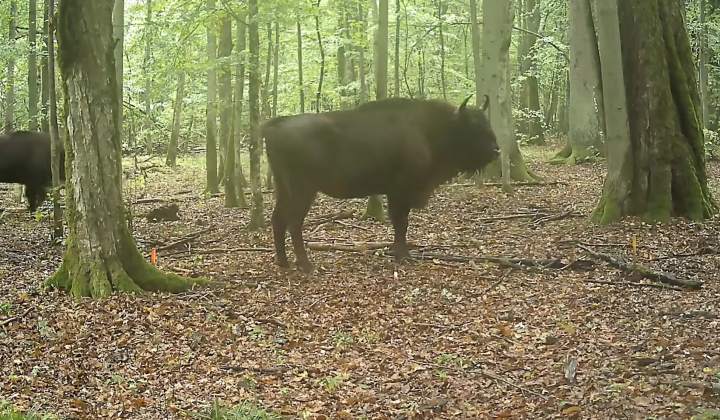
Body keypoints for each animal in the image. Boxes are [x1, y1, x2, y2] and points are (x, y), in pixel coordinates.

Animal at [264, 95, 499, 272]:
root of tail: (276, 124)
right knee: (294, 223)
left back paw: (283, 262)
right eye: (472, 126)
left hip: (283, 188)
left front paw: (396, 252)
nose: (496, 151)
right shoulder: (400, 191)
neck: (430, 128)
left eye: (487, 122)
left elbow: (399, 222)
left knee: (278, 220)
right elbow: (401, 222)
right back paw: (307, 266)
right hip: (303, 190)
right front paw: (403, 256)